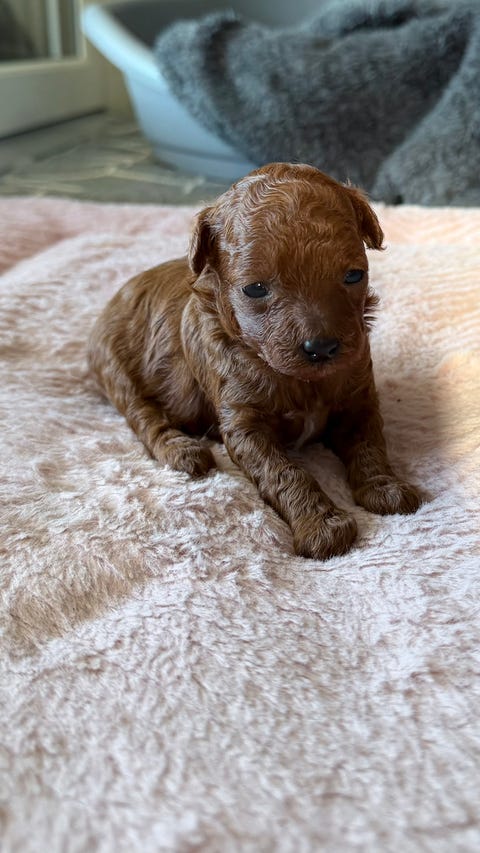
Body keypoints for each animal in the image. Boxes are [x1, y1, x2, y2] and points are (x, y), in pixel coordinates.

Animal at [88, 162, 421, 559]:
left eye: (354, 275)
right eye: (255, 289)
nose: (322, 348)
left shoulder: (358, 396)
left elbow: (370, 443)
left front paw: (385, 487)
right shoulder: (244, 423)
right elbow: (285, 472)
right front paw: (322, 526)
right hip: (117, 370)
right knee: (145, 418)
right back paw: (183, 451)